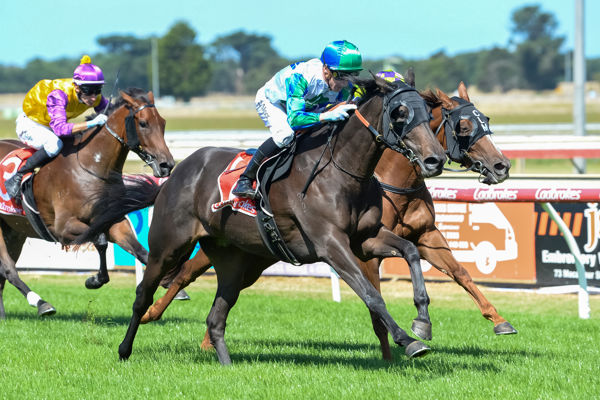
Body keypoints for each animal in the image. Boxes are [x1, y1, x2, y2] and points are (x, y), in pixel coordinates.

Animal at [0, 88, 173, 318]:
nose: (167, 165)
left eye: (163, 122)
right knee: (8, 268)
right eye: (143, 123)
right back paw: (41, 303)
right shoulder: (63, 228)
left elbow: (139, 249)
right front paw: (95, 279)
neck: (90, 167)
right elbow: (100, 240)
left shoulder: (113, 220)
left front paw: (169, 281)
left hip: (14, 229)